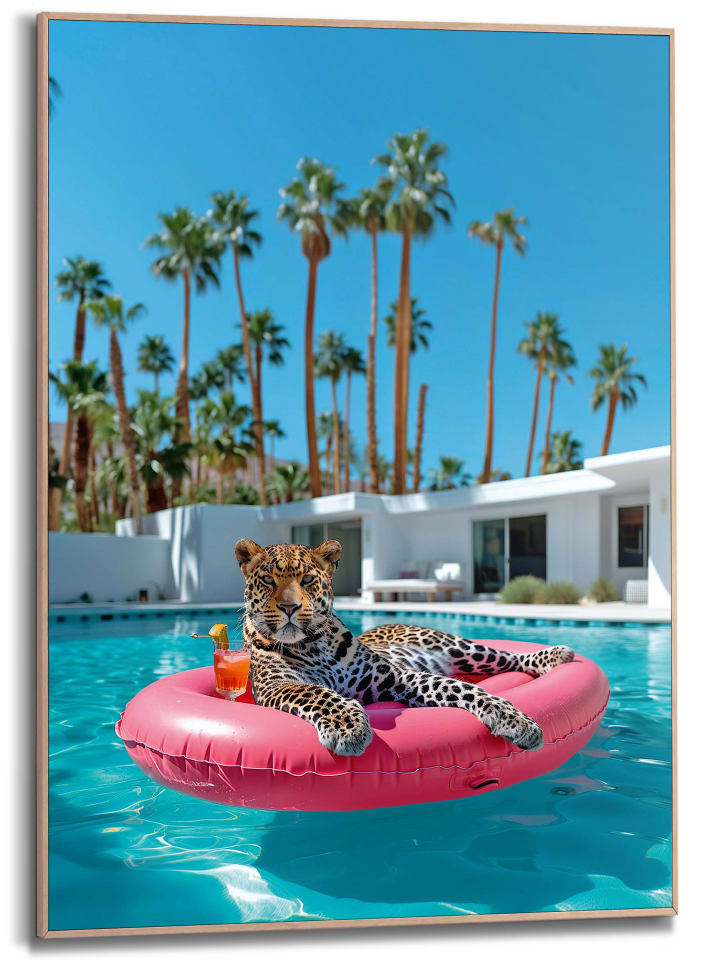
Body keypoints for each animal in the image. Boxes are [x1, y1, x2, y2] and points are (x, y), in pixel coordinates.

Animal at [235, 538, 575, 757]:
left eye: (306, 580)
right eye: (267, 580)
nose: (289, 607)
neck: (313, 646)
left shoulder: (396, 677)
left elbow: (464, 689)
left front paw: (517, 721)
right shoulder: (276, 685)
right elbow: (316, 693)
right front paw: (348, 727)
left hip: (461, 648)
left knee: (507, 657)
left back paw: (555, 654)